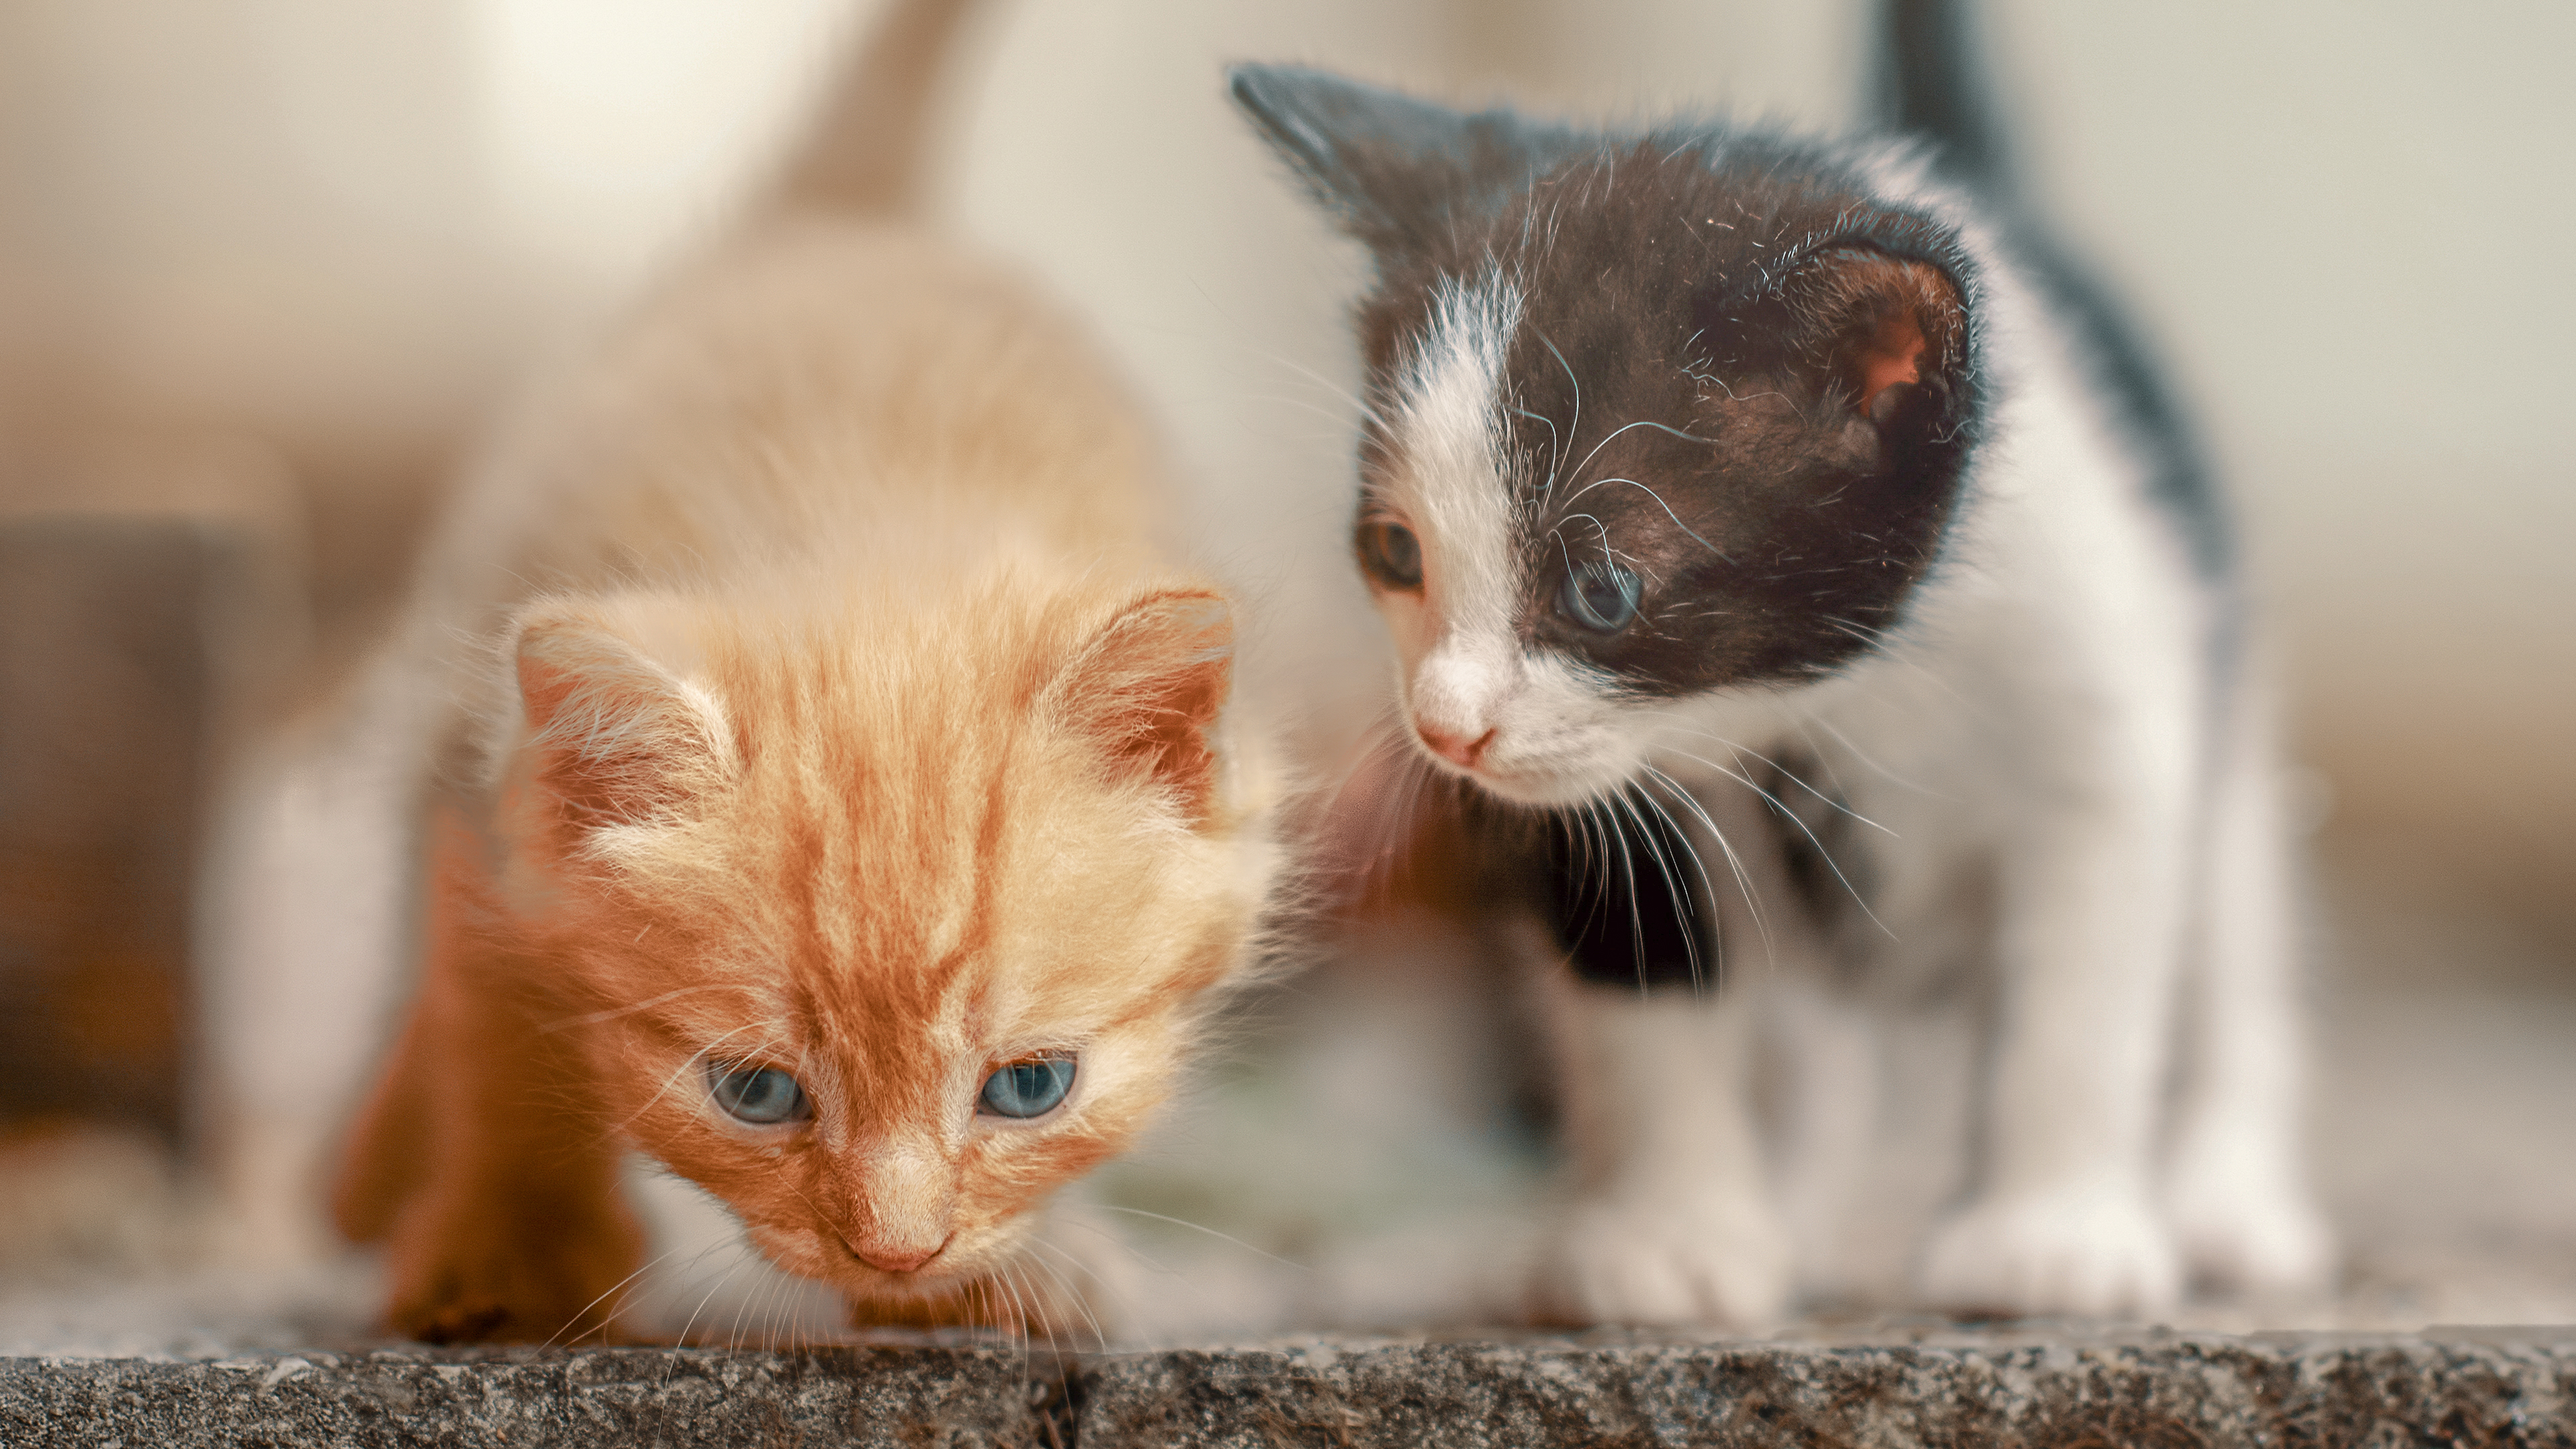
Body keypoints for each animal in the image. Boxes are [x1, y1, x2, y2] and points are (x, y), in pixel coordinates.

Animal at [332, 0, 1277, 1340]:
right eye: (757, 1092)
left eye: (1031, 1086)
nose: (896, 1253)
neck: (862, 518)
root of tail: (844, 222)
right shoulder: (478, 778)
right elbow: (499, 1018)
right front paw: (508, 1255)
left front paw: (1001, 1284)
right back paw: (365, 1177)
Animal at [1226, 3, 2339, 1320]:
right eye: (1396, 553)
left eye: (1602, 592)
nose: (1447, 729)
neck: (1853, 691)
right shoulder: (1610, 805)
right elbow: (1642, 991)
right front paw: (1677, 1234)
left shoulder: (2101, 712)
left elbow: (2082, 990)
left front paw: (2050, 1231)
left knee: (2230, 932)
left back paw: (2226, 1199)